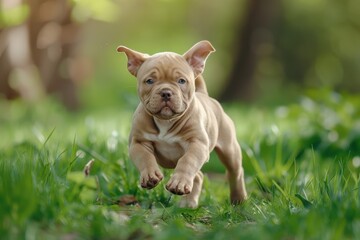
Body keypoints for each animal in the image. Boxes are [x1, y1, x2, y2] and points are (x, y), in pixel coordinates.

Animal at [116, 41, 246, 208]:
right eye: (150, 81)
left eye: (181, 81)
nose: (166, 92)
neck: (165, 121)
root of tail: (204, 95)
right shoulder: (138, 142)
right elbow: (145, 157)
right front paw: (150, 175)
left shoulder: (197, 144)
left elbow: (188, 161)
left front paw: (178, 182)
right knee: (198, 176)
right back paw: (188, 203)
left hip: (230, 148)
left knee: (235, 172)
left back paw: (238, 199)